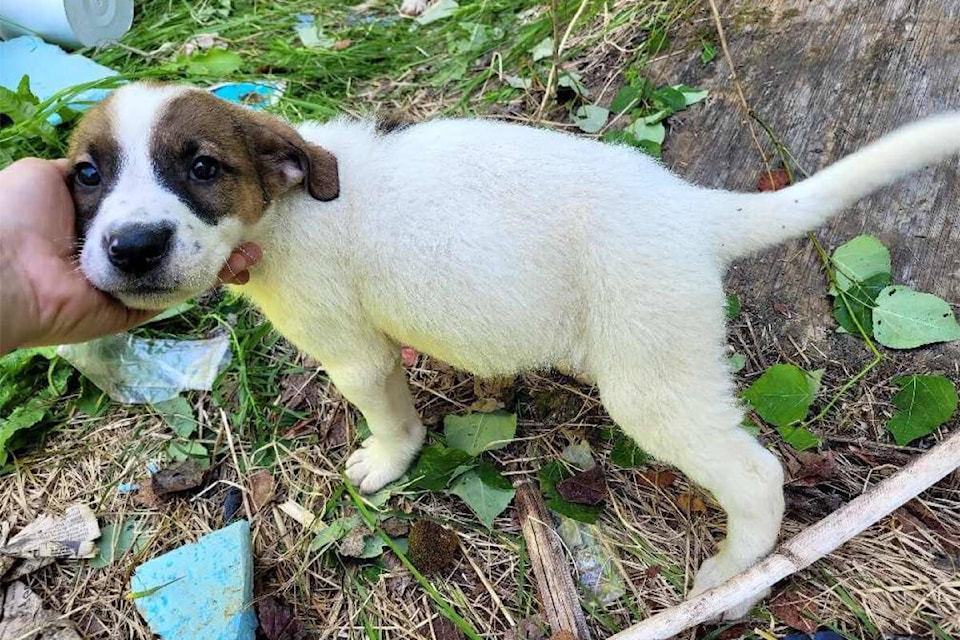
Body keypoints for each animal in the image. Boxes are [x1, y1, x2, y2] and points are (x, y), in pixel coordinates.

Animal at [69, 82, 960, 616]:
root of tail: (693, 210)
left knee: (757, 474)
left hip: (652, 382)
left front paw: (385, 462)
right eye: (86, 175)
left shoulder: (353, 349)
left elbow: (389, 415)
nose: (132, 247)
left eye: (203, 168)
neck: (288, 209)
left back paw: (734, 587)